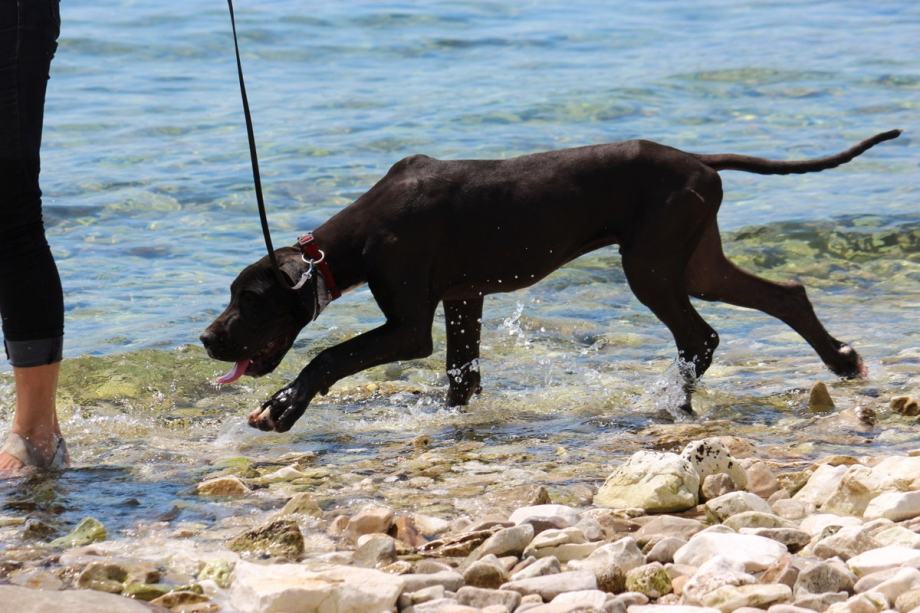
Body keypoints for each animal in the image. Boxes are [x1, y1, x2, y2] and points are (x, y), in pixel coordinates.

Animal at [201, 131, 900, 432]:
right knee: (785, 295)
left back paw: (674, 404)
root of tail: (700, 160)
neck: (345, 244)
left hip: (651, 265)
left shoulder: (407, 325)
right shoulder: (464, 299)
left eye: (250, 300)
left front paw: (283, 408)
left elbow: (328, 356)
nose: (208, 340)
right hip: (696, 260)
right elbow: (462, 378)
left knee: (700, 336)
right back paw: (842, 360)